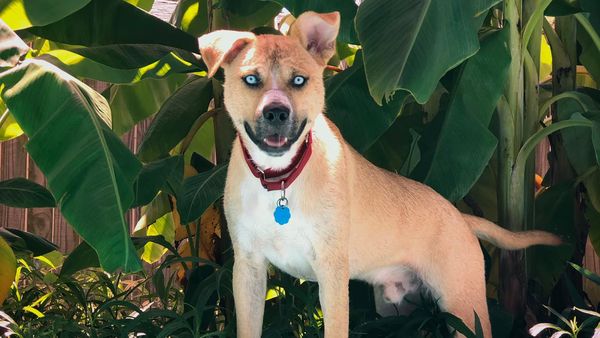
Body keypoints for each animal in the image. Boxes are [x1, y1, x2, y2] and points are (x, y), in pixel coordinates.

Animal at [198, 11, 564, 338]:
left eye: (299, 80)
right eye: (251, 79)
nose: (276, 112)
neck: (280, 181)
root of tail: (461, 217)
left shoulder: (332, 274)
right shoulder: (248, 270)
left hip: (465, 308)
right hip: (399, 309)